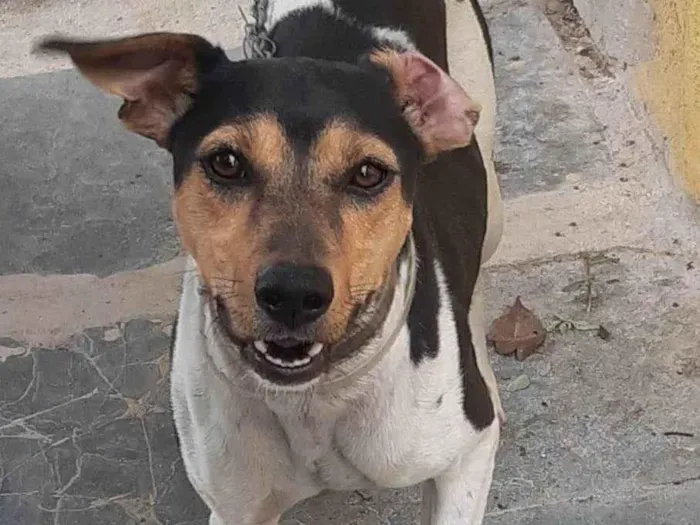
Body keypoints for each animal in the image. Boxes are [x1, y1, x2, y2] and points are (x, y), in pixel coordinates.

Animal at [41, 1, 504, 520]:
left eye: (368, 173)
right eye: (226, 162)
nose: (293, 294)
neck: (314, 400)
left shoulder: (464, 459)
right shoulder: (236, 507)